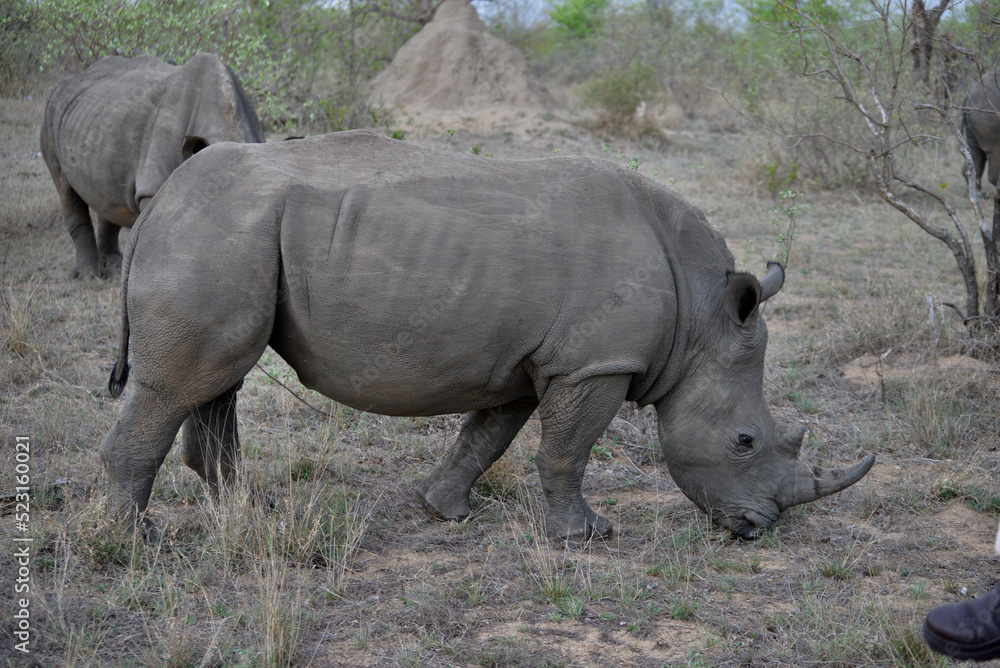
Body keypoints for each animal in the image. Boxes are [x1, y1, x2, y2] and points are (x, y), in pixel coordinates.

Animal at [40, 53, 264, 278]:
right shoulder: (154, 187)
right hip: (50, 116)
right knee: (65, 186)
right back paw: (90, 276)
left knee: (107, 191)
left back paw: (113, 264)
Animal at [100, 130, 874, 540]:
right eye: (743, 442)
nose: (756, 527)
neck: (701, 316)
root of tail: (164, 199)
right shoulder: (596, 363)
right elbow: (567, 449)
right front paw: (586, 536)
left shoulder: (535, 360)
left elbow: (489, 433)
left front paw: (441, 509)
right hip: (216, 237)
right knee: (183, 385)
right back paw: (137, 544)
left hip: (227, 238)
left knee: (216, 380)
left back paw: (251, 514)